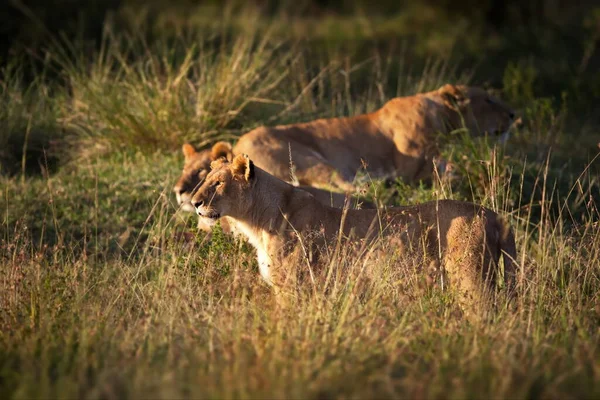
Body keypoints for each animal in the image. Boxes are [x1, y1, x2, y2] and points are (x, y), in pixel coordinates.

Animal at [191, 155, 516, 314]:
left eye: (218, 183)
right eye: (204, 180)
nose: (194, 202)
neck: (256, 222)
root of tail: (493, 215)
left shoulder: (292, 288)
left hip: (471, 280)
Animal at [234, 83, 516, 190]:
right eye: (488, 100)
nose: (514, 114)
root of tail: (235, 147)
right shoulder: (410, 169)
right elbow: (457, 167)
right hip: (310, 159)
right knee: (349, 190)